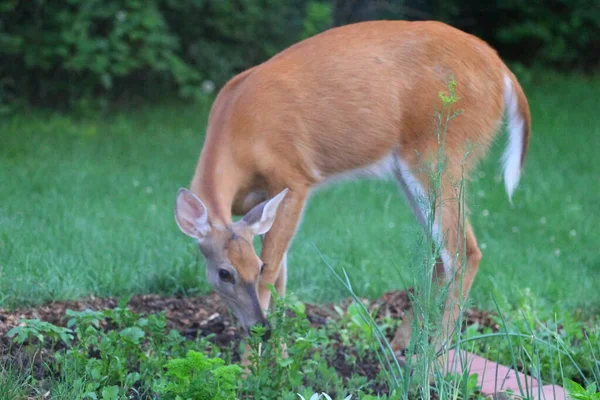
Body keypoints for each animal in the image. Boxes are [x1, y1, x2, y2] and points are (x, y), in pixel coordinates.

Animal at [172, 18, 528, 362]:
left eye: (252, 269)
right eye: (224, 273)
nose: (261, 329)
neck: (238, 135)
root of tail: (502, 70)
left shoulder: (294, 179)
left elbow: (274, 272)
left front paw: (250, 366)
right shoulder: (259, 206)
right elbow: (281, 273)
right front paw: (280, 357)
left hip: (442, 153)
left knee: (463, 252)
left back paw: (433, 361)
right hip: (414, 171)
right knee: (438, 253)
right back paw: (403, 344)